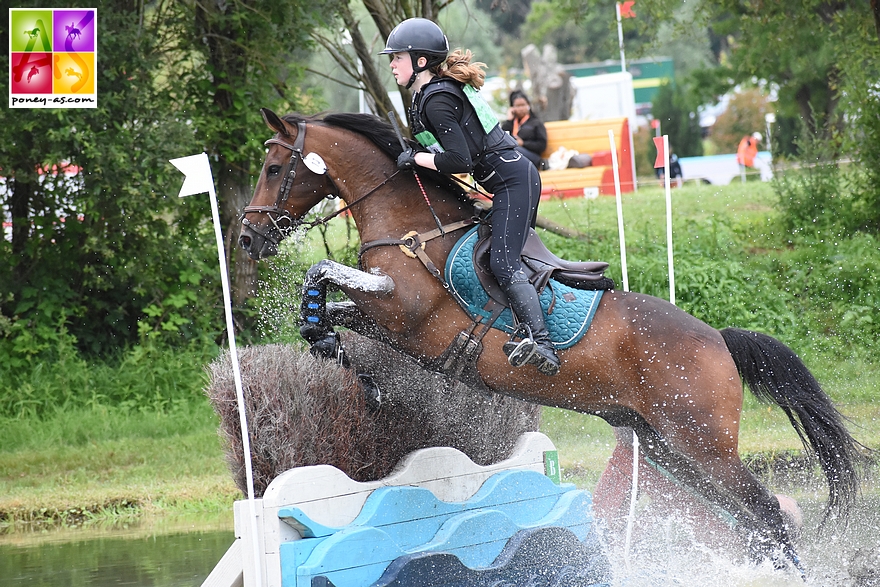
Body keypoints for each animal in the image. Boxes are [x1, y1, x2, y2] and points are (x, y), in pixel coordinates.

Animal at [241, 109, 868, 576]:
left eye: (272, 166)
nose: (248, 237)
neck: (410, 223)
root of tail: (717, 339)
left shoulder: (402, 311)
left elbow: (321, 268)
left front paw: (333, 340)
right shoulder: (386, 321)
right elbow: (325, 304)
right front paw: (337, 352)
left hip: (705, 446)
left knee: (769, 514)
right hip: (669, 450)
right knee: (754, 522)